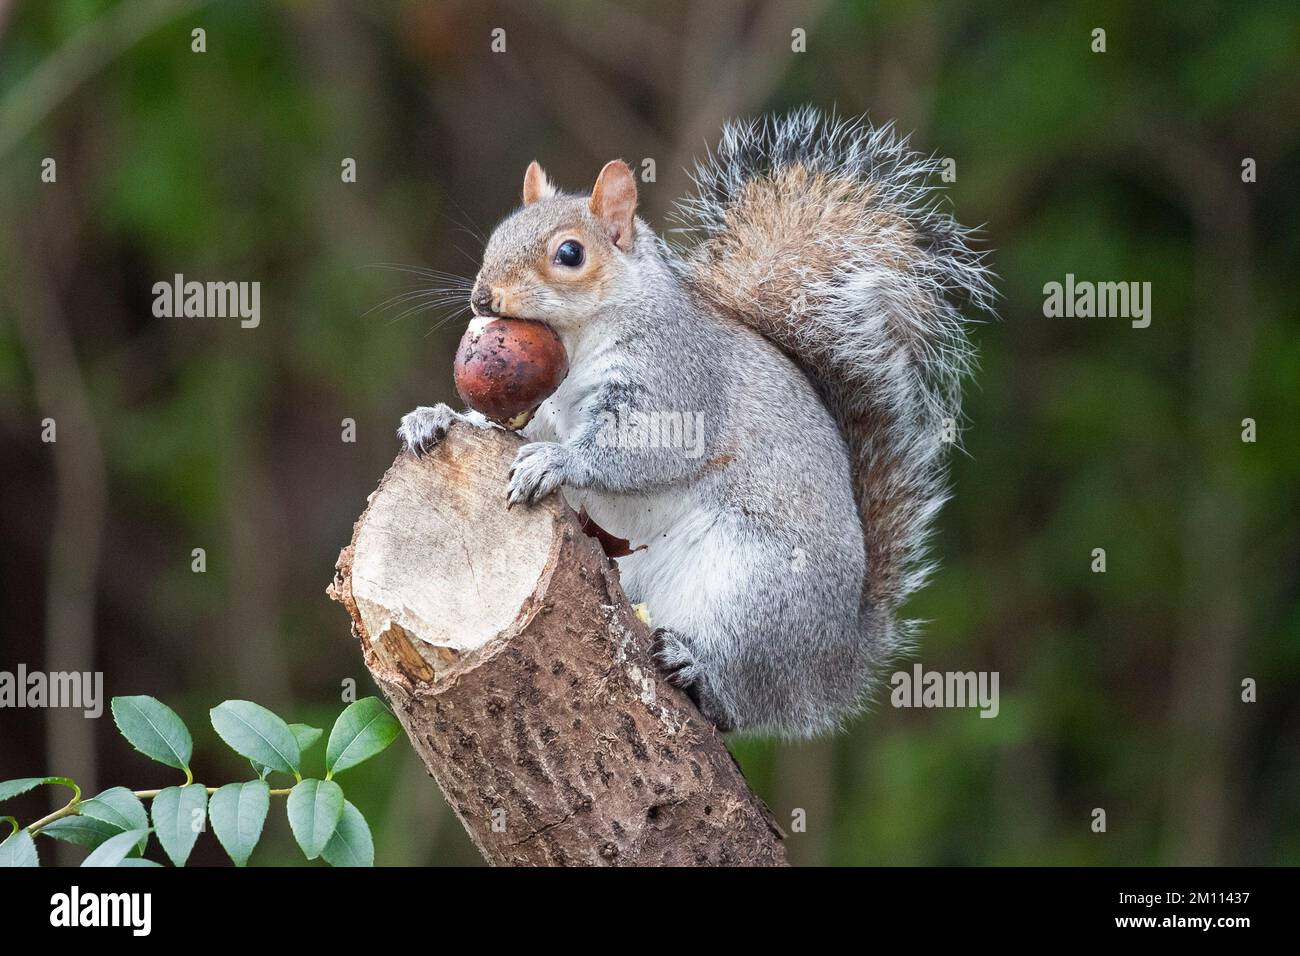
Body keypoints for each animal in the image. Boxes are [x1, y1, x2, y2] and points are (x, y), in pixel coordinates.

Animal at [400, 108, 987, 738]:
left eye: (570, 254)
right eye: (497, 237)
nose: (483, 298)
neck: (579, 342)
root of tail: (834, 665)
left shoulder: (674, 379)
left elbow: (643, 447)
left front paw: (556, 463)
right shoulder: (547, 411)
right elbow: (514, 432)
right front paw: (434, 420)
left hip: (753, 590)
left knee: (740, 696)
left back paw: (700, 668)